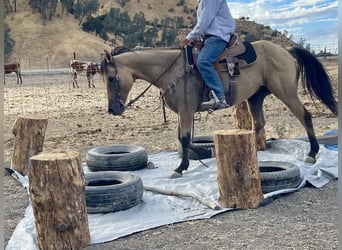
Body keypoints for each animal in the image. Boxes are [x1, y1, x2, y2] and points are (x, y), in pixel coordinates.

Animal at [100, 40, 338, 178]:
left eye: (111, 78)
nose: (113, 110)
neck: (172, 70)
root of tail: (285, 51)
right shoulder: (183, 113)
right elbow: (183, 139)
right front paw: (200, 157)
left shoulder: (186, 110)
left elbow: (184, 139)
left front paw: (180, 168)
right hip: (255, 97)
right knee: (258, 124)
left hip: (286, 93)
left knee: (305, 116)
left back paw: (312, 153)